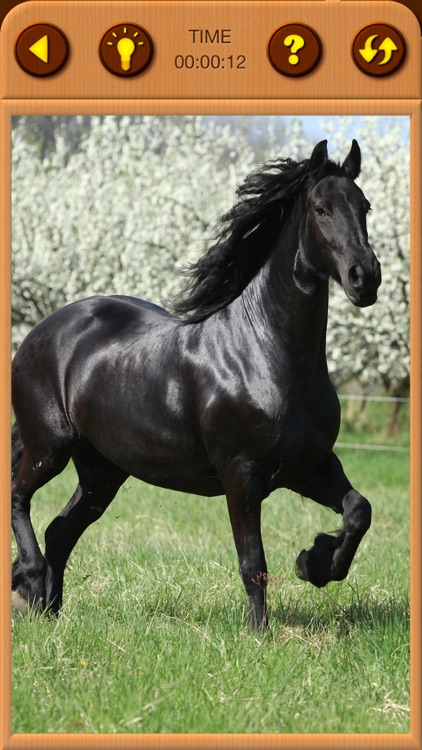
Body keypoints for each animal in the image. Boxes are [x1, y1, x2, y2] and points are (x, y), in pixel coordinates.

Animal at [11, 139, 381, 630]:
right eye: (321, 209)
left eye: (364, 206)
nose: (366, 277)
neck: (267, 354)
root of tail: (41, 332)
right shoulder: (241, 474)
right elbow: (253, 563)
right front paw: (259, 633)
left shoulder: (311, 465)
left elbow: (359, 511)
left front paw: (314, 562)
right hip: (47, 447)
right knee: (18, 498)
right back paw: (29, 582)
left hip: (102, 470)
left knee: (60, 530)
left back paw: (48, 611)